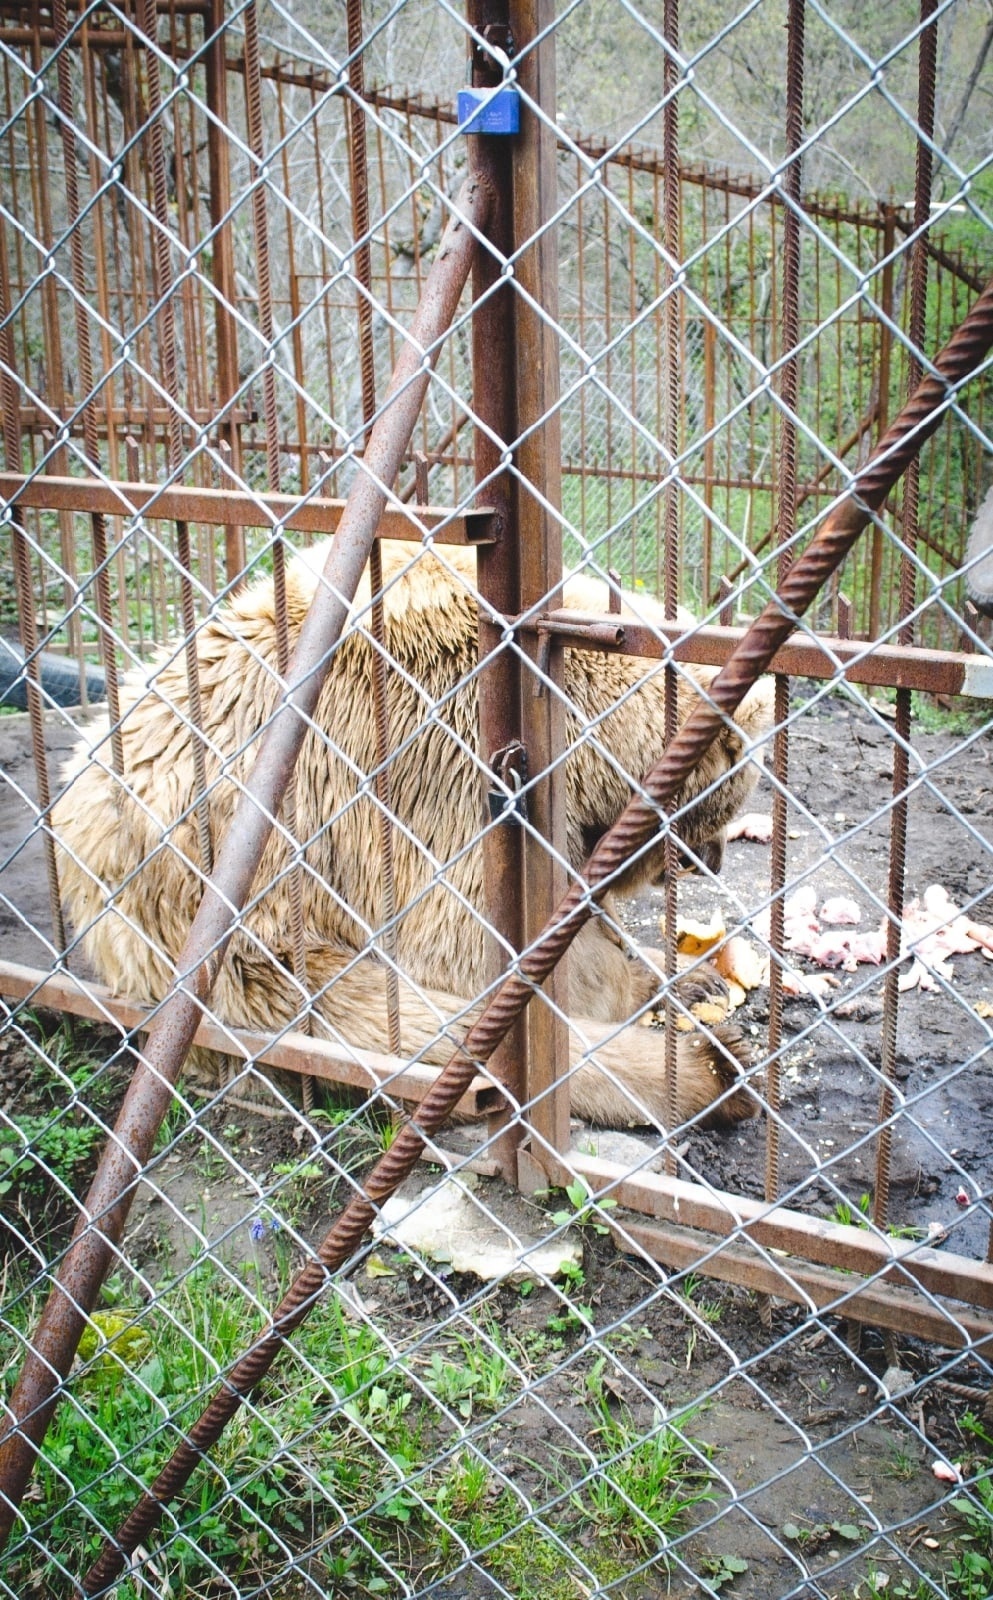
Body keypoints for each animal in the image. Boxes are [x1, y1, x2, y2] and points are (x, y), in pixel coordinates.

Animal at [54, 544, 773, 1132]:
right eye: (726, 803)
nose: (712, 859)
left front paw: (685, 974)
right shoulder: (437, 765)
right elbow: (473, 955)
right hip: (233, 935)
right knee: (388, 1023)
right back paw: (712, 1071)